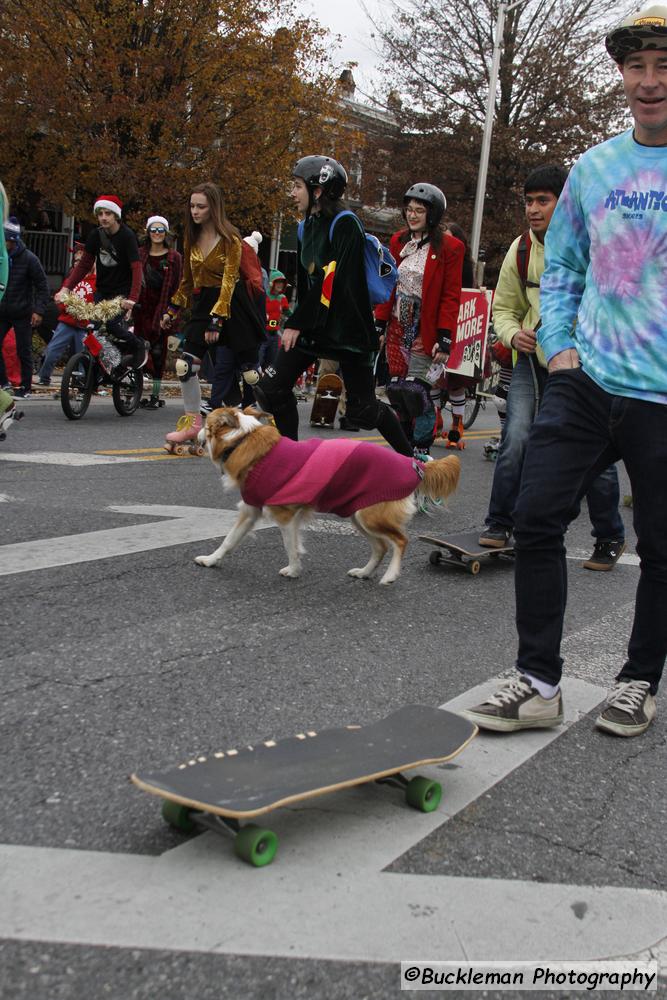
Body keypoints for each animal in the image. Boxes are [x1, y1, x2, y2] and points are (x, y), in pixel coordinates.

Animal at [196, 406, 462, 584]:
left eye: (206, 424)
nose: (196, 432)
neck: (242, 441)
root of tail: (412, 464)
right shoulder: (251, 510)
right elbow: (229, 540)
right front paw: (211, 560)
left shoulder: (284, 516)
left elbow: (290, 546)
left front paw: (293, 570)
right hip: (359, 514)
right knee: (381, 547)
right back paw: (364, 572)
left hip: (369, 516)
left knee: (400, 541)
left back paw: (389, 575)